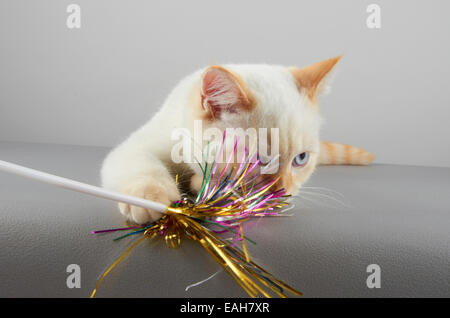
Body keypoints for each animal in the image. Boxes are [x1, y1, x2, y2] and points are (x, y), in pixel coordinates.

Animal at [100, 57, 374, 226]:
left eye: (301, 159)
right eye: (259, 159)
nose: (282, 192)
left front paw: (202, 182)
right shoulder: (138, 145)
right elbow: (143, 167)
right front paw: (148, 199)